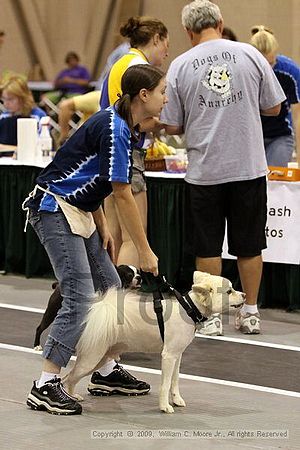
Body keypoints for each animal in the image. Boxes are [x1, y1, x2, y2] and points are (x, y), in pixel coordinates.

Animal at [62, 270, 244, 414]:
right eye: (229, 291)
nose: (245, 295)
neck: (188, 309)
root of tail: (94, 315)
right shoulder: (168, 356)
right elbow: (165, 384)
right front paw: (165, 406)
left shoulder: (177, 356)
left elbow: (175, 381)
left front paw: (176, 400)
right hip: (91, 358)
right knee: (69, 377)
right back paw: (70, 399)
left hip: (100, 358)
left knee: (69, 378)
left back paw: (72, 396)